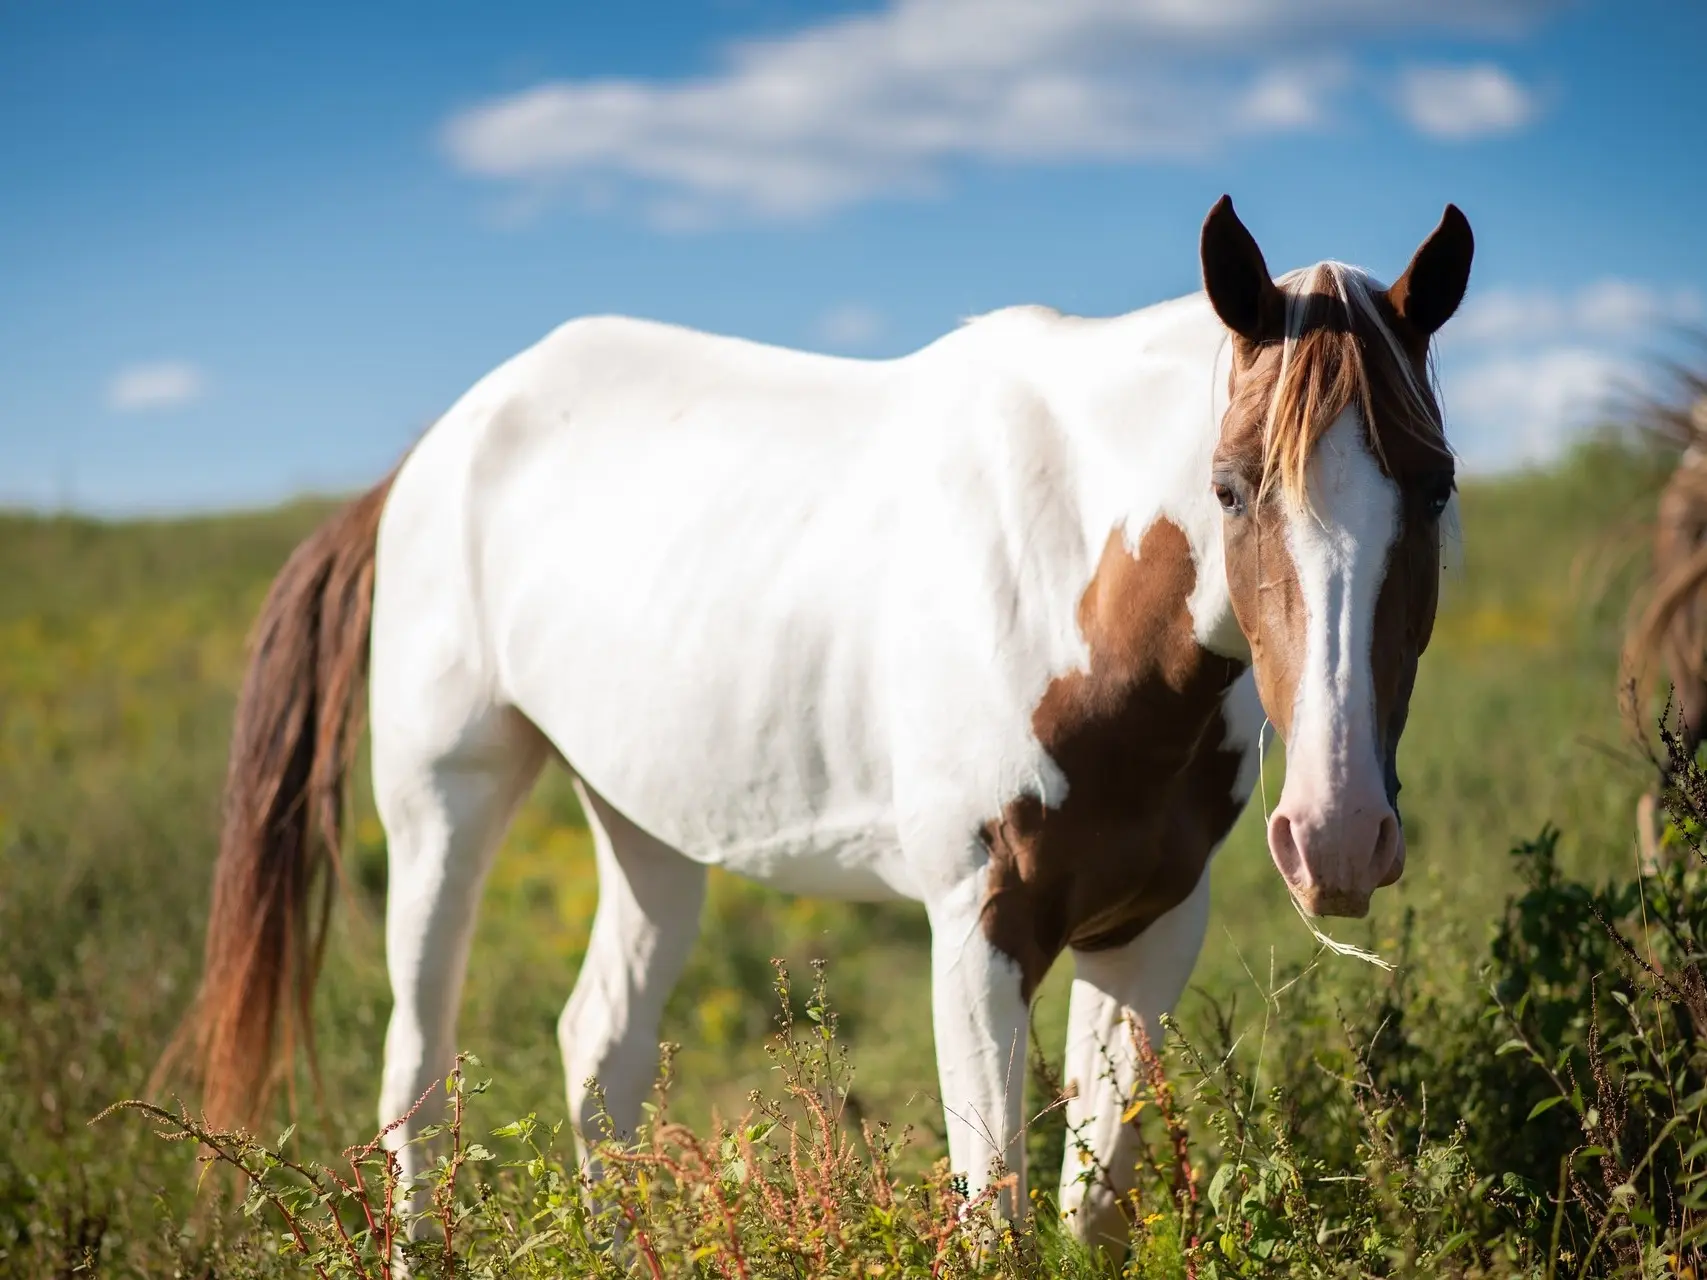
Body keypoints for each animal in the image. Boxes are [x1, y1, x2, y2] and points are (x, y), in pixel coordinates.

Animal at [166, 200, 1468, 1256]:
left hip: (644, 821)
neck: (1076, 588)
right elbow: (994, 1219)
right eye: (1233, 487)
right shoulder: (977, 929)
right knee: (419, 1077)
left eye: (1437, 482)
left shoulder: (1147, 931)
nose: (1339, 836)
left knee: (598, 1051)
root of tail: (427, 455)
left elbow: (1090, 1209)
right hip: (448, 795)